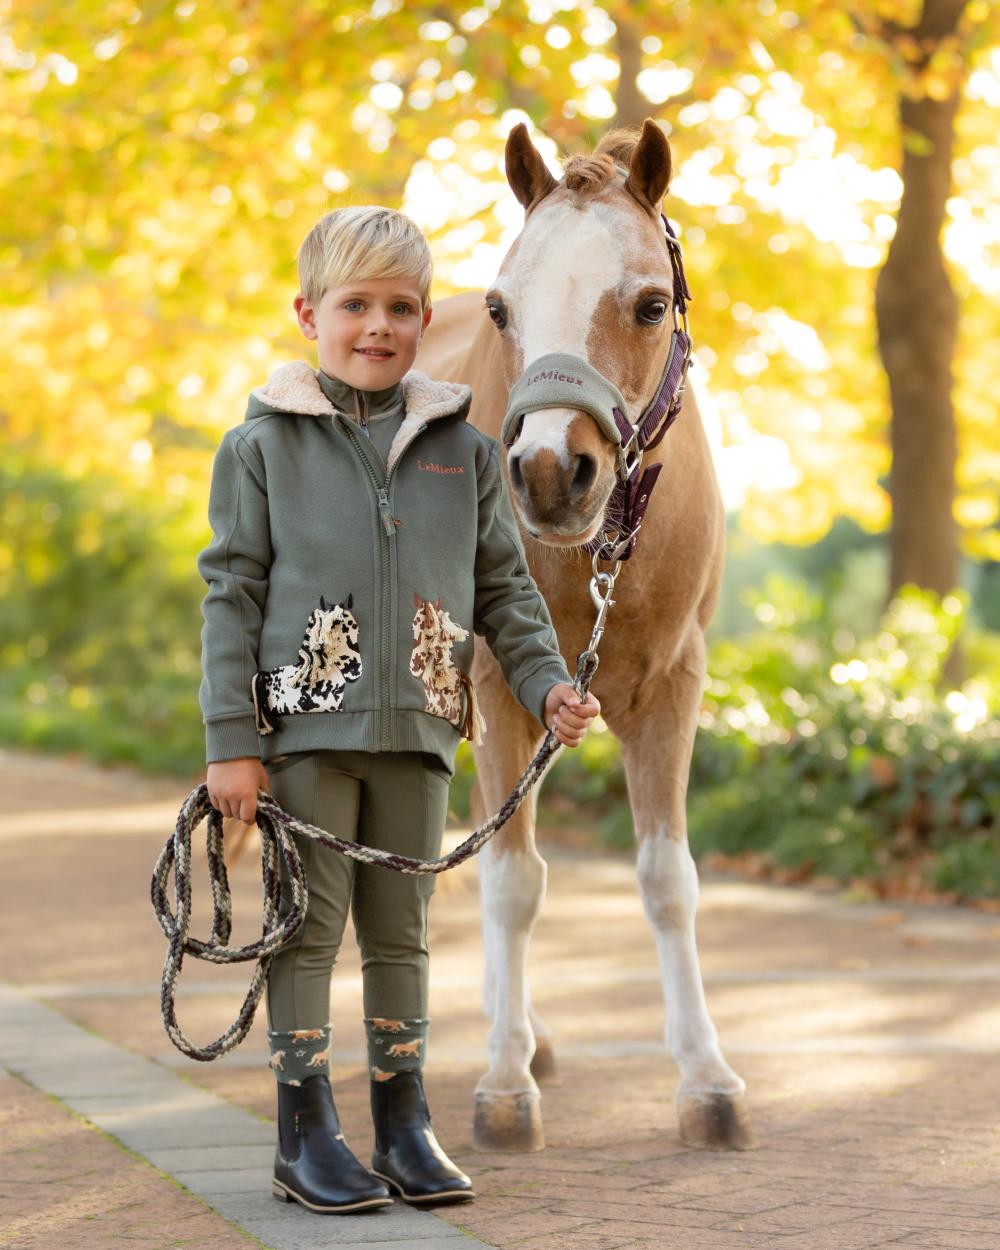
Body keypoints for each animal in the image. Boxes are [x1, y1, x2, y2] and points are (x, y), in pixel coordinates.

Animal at [416, 120, 755, 1153]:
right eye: (501, 308)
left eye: (651, 304)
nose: (546, 472)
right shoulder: (494, 685)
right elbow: (512, 883)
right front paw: (501, 1087)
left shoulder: (671, 688)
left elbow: (666, 878)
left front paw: (706, 1081)